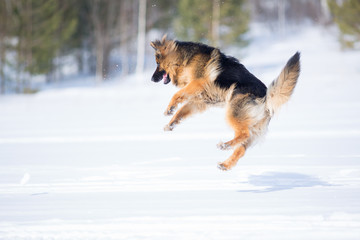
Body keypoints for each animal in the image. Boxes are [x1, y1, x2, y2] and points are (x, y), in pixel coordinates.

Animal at [150, 35, 300, 171]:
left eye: (157, 63)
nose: (151, 79)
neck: (184, 60)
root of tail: (266, 97)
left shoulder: (197, 83)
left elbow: (176, 95)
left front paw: (169, 108)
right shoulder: (199, 101)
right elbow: (181, 111)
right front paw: (171, 123)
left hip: (233, 113)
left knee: (244, 134)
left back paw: (225, 145)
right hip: (250, 126)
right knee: (241, 149)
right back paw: (225, 164)